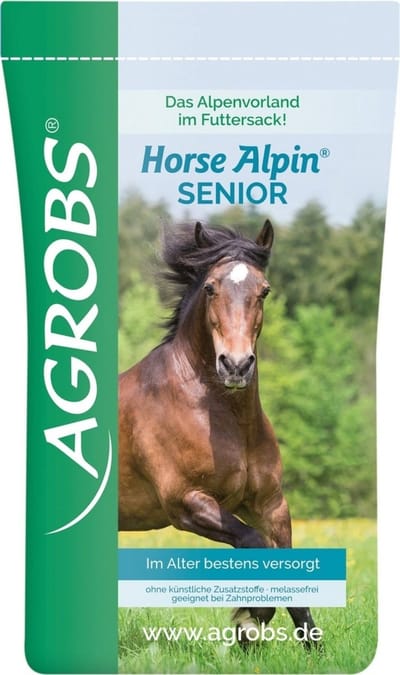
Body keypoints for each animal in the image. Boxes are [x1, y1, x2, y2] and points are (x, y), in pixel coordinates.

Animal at [118, 219, 318, 647]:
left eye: (265, 290)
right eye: (210, 288)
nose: (236, 365)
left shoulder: (270, 505)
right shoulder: (187, 502)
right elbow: (254, 544)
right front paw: (249, 619)